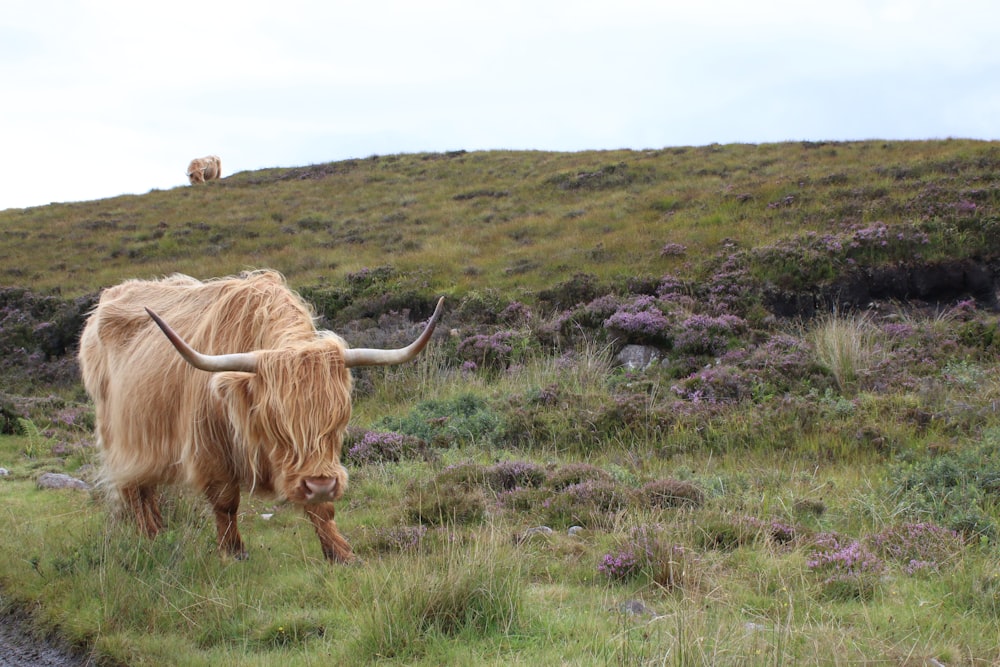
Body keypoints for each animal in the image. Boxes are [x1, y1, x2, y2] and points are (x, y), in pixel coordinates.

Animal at [82, 272, 446, 564]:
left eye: (339, 419)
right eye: (278, 422)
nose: (322, 484)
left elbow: (321, 509)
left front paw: (342, 554)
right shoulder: (212, 448)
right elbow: (226, 502)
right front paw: (233, 553)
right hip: (121, 437)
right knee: (135, 489)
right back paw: (150, 537)